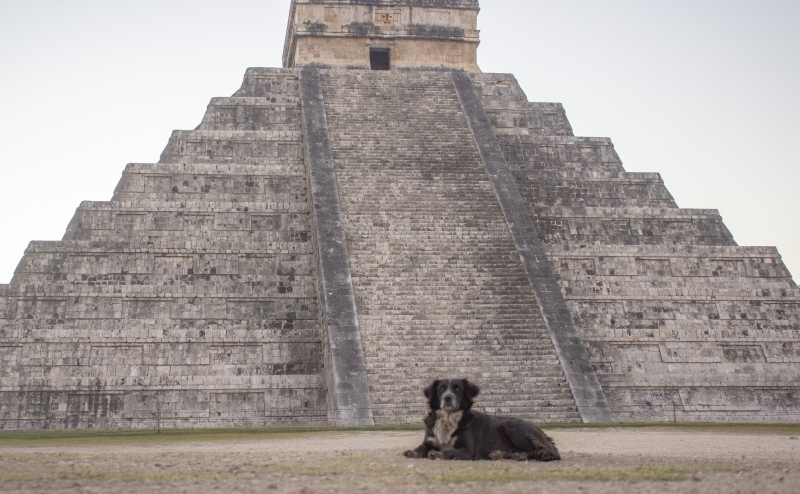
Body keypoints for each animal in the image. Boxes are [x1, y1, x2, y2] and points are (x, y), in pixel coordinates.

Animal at [404, 378, 560, 464]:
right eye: (441, 389)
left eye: (457, 389)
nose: (447, 397)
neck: (448, 418)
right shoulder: (430, 440)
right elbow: (420, 449)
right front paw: (413, 452)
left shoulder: (468, 450)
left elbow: (450, 452)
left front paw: (437, 454)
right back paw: (504, 454)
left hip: (512, 426)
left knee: (550, 451)